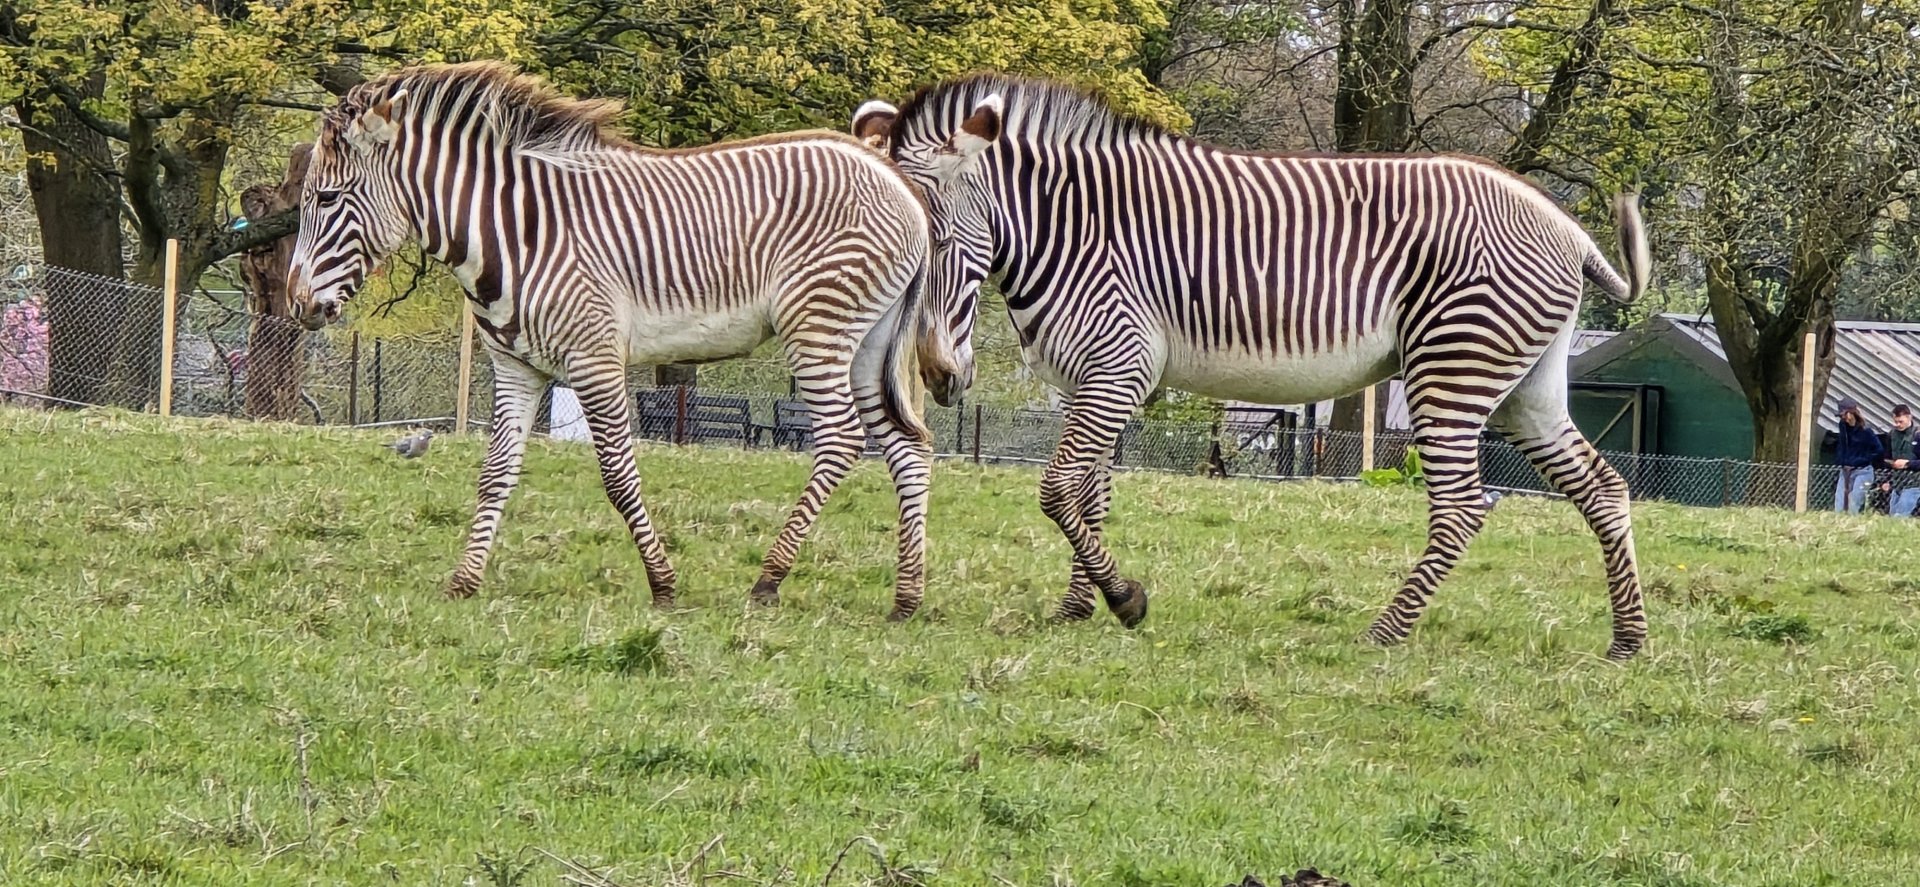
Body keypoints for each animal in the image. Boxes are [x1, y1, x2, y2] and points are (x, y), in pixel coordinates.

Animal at [288, 61, 939, 620]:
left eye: (325, 199)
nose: (296, 304)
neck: (514, 232)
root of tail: (894, 177)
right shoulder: (515, 366)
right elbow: (496, 472)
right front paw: (463, 583)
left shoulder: (594, 358)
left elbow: (618, 475)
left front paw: (663, 585)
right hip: (867, 342)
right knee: (908, 444)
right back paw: (906, 598)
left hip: (819, 325)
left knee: (842, 439)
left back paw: (770, 579)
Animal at [852, 74, 1653, 659]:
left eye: (937, 240)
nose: (939, 380)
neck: (1070, 232)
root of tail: (1567, 226)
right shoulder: (1097, 378)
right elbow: (1089, 496)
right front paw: (1081, 606)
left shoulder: (1118, 367)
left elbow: (1056, 492)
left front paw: (1124, 599)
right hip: (1526, 390)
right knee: (1605, 489)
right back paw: (1627, 640)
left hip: (1453, 370)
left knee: (1461, 508)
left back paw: (1385, 631)